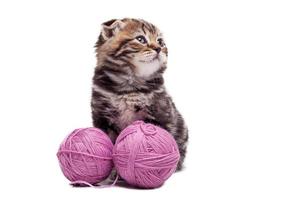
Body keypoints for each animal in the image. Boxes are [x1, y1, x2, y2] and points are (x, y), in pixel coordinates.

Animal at [91, 18, 188, 170]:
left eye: (161, 42)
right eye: (140, 39)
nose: (158, 48)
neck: (129, 86)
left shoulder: (160, 113)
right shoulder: (102, 117)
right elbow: (109, 144)